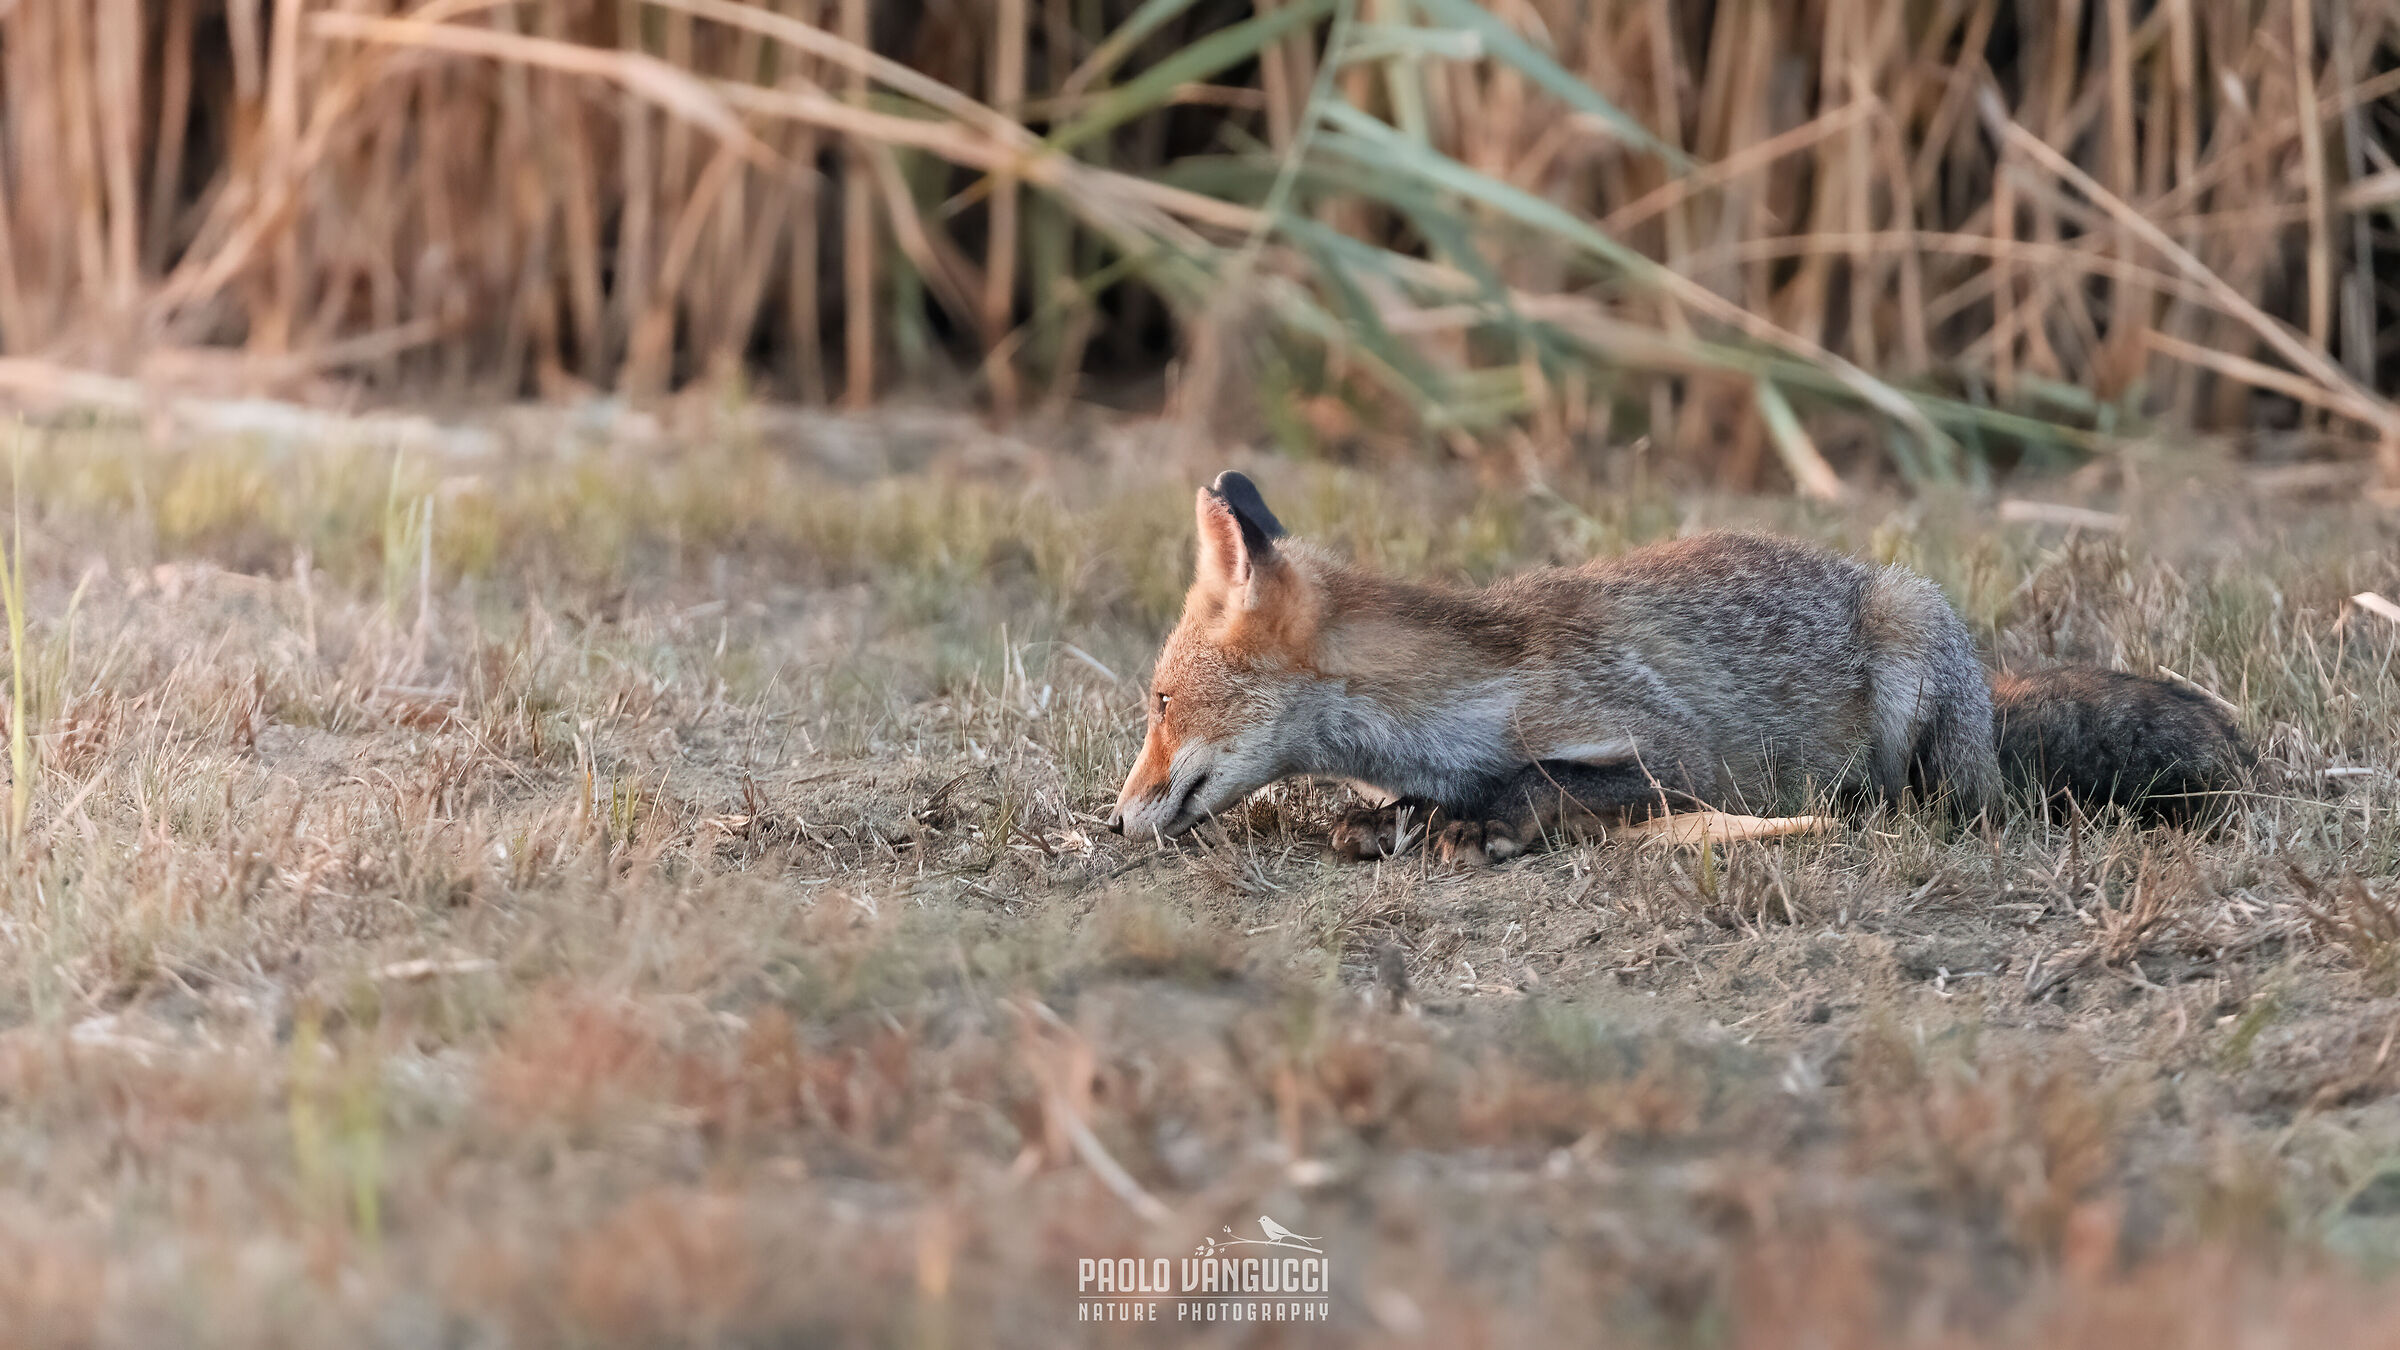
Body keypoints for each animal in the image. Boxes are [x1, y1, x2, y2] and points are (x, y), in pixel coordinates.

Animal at [1104, 472, 2249, 864]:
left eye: (1160, 702)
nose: (1114, 820)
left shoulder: (1676, 757)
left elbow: (1544, 781)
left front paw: (1481, 823)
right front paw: (1397, 819)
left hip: (1914, 643)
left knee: (1943, 802)